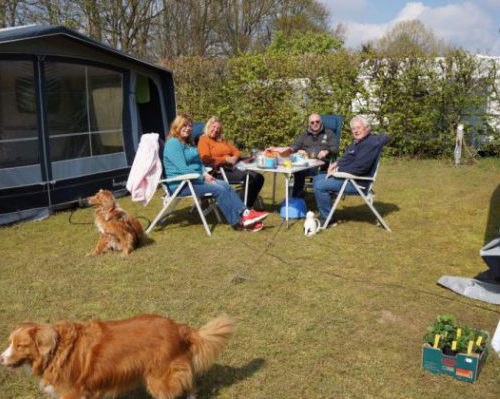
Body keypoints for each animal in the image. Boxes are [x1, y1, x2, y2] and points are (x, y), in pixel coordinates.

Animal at [0, 316, 234, 399]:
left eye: (20, 345)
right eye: (9, 342)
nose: (1, 359)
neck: (55, 350)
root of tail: (178, 327)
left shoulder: (72, 393)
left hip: (159, 379)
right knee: (190, 381)